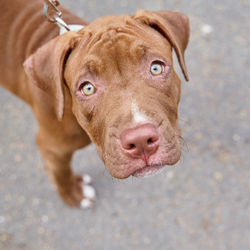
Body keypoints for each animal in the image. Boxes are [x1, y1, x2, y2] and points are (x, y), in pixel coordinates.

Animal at [0, 0, 189, 207]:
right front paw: (73, 194)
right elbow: (60, 173)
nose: (140, 141)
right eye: (88, 88)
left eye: (155, 68)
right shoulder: (53, 147)